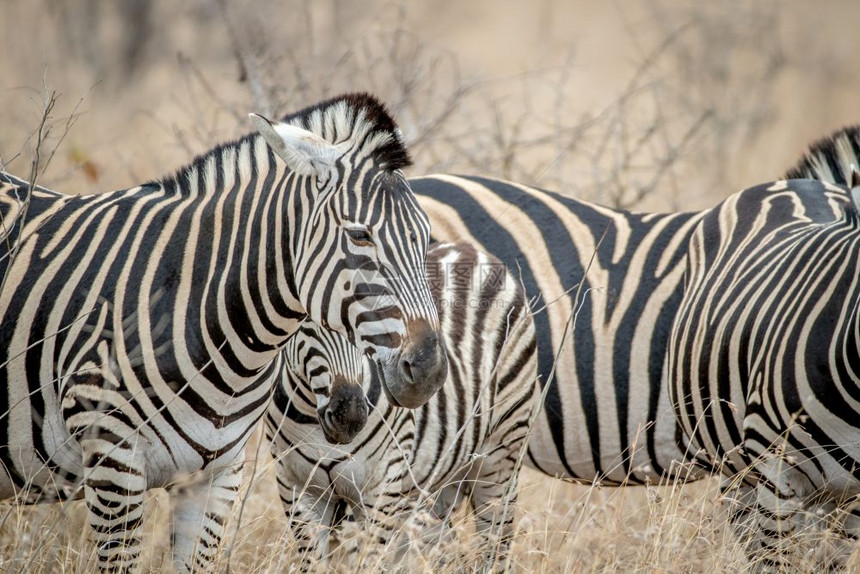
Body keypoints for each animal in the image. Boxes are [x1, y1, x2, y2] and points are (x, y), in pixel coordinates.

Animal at [266, 242, 540, 572]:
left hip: (501, 453)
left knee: (495, 544)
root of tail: (467, 248)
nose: (350, 416)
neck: (312, 419)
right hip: (434, 481)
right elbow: (314, 561)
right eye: (306, 323)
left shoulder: (382, 486)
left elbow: (368, 561)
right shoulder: (295, 488)